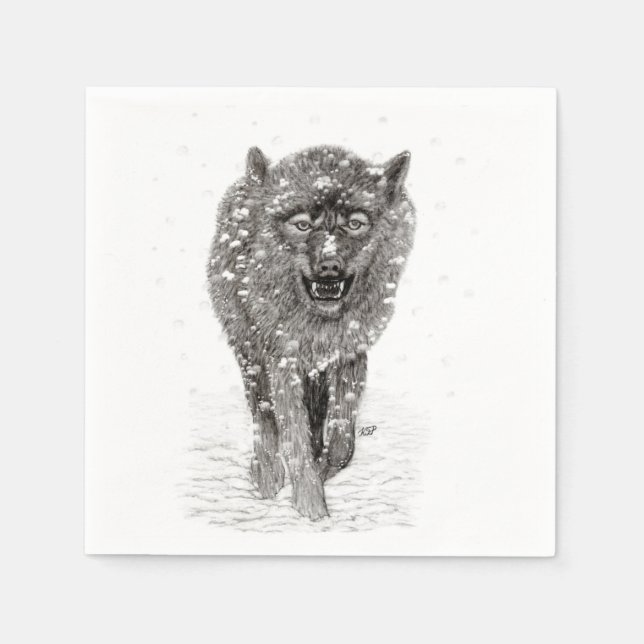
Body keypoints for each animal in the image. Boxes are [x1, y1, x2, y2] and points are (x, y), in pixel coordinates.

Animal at [207, 145, 416, 520]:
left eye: (355, 223)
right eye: (302, 224)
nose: (329, 266)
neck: (319, 325)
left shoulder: (350, 354)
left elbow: (341, 442)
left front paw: (320, 473)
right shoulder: (282, 362)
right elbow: (293, 436)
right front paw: (310, 506)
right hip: (250, 355)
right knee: (263, 416)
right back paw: (266, 474)